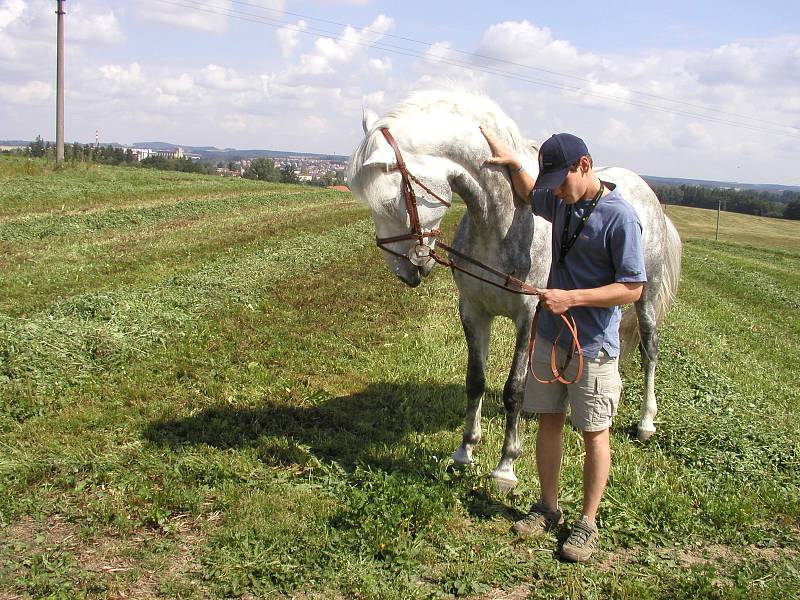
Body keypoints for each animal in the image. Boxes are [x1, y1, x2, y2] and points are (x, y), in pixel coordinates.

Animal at [346, 91, 680, 490]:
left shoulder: (529, 316)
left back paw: (645, 422)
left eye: (391, 200)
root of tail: (647, 192)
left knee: (649, 350)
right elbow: (475, 380)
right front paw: (465, 452)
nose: (406, 271)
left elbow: (514, 390)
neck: (501, 221)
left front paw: (506, 466)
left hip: (646, 298)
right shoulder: (474, 311)